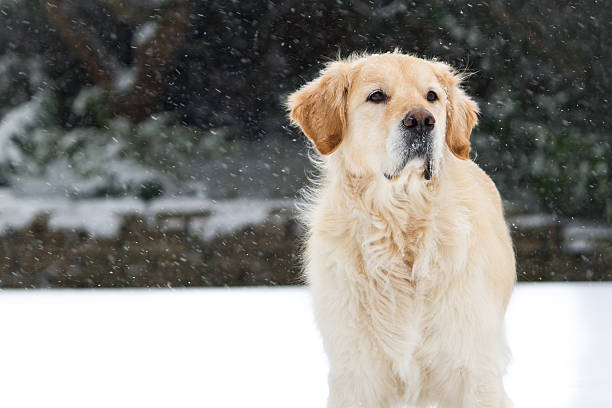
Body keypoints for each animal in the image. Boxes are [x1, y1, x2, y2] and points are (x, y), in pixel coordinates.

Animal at [288, 52, 516, 406]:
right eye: (377, 96)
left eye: (432, 96)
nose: (421, 120)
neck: (400, 226)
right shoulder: (357, 370)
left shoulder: (473, 366)